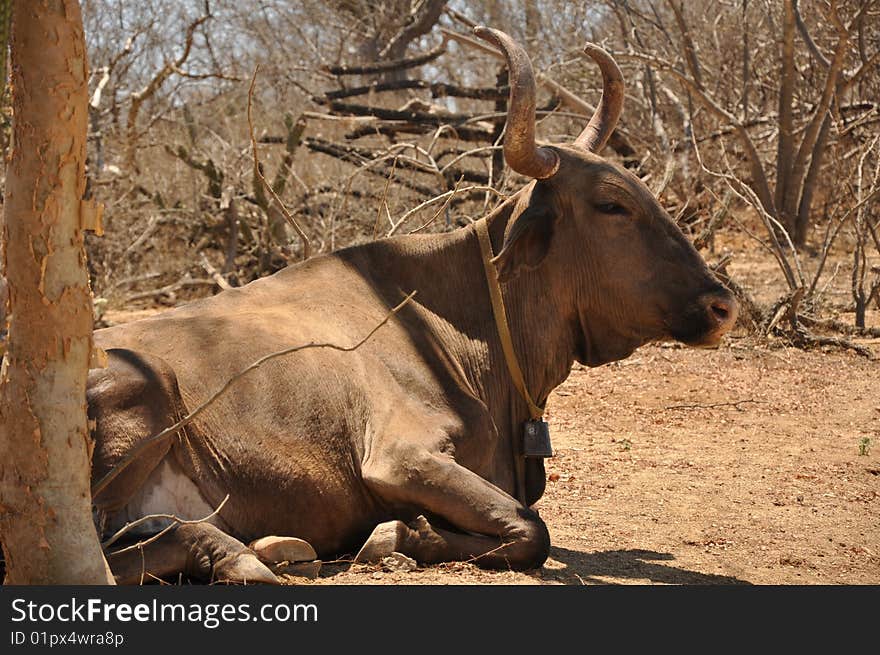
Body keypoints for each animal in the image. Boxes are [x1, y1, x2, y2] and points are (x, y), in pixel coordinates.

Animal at [87, 29, 736, 584]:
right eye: (612, 204)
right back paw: (243, 554)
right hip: (143, 393)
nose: (722, 305)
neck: (463, 328)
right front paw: (401, 536)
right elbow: (531, 530)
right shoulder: (400, 458)